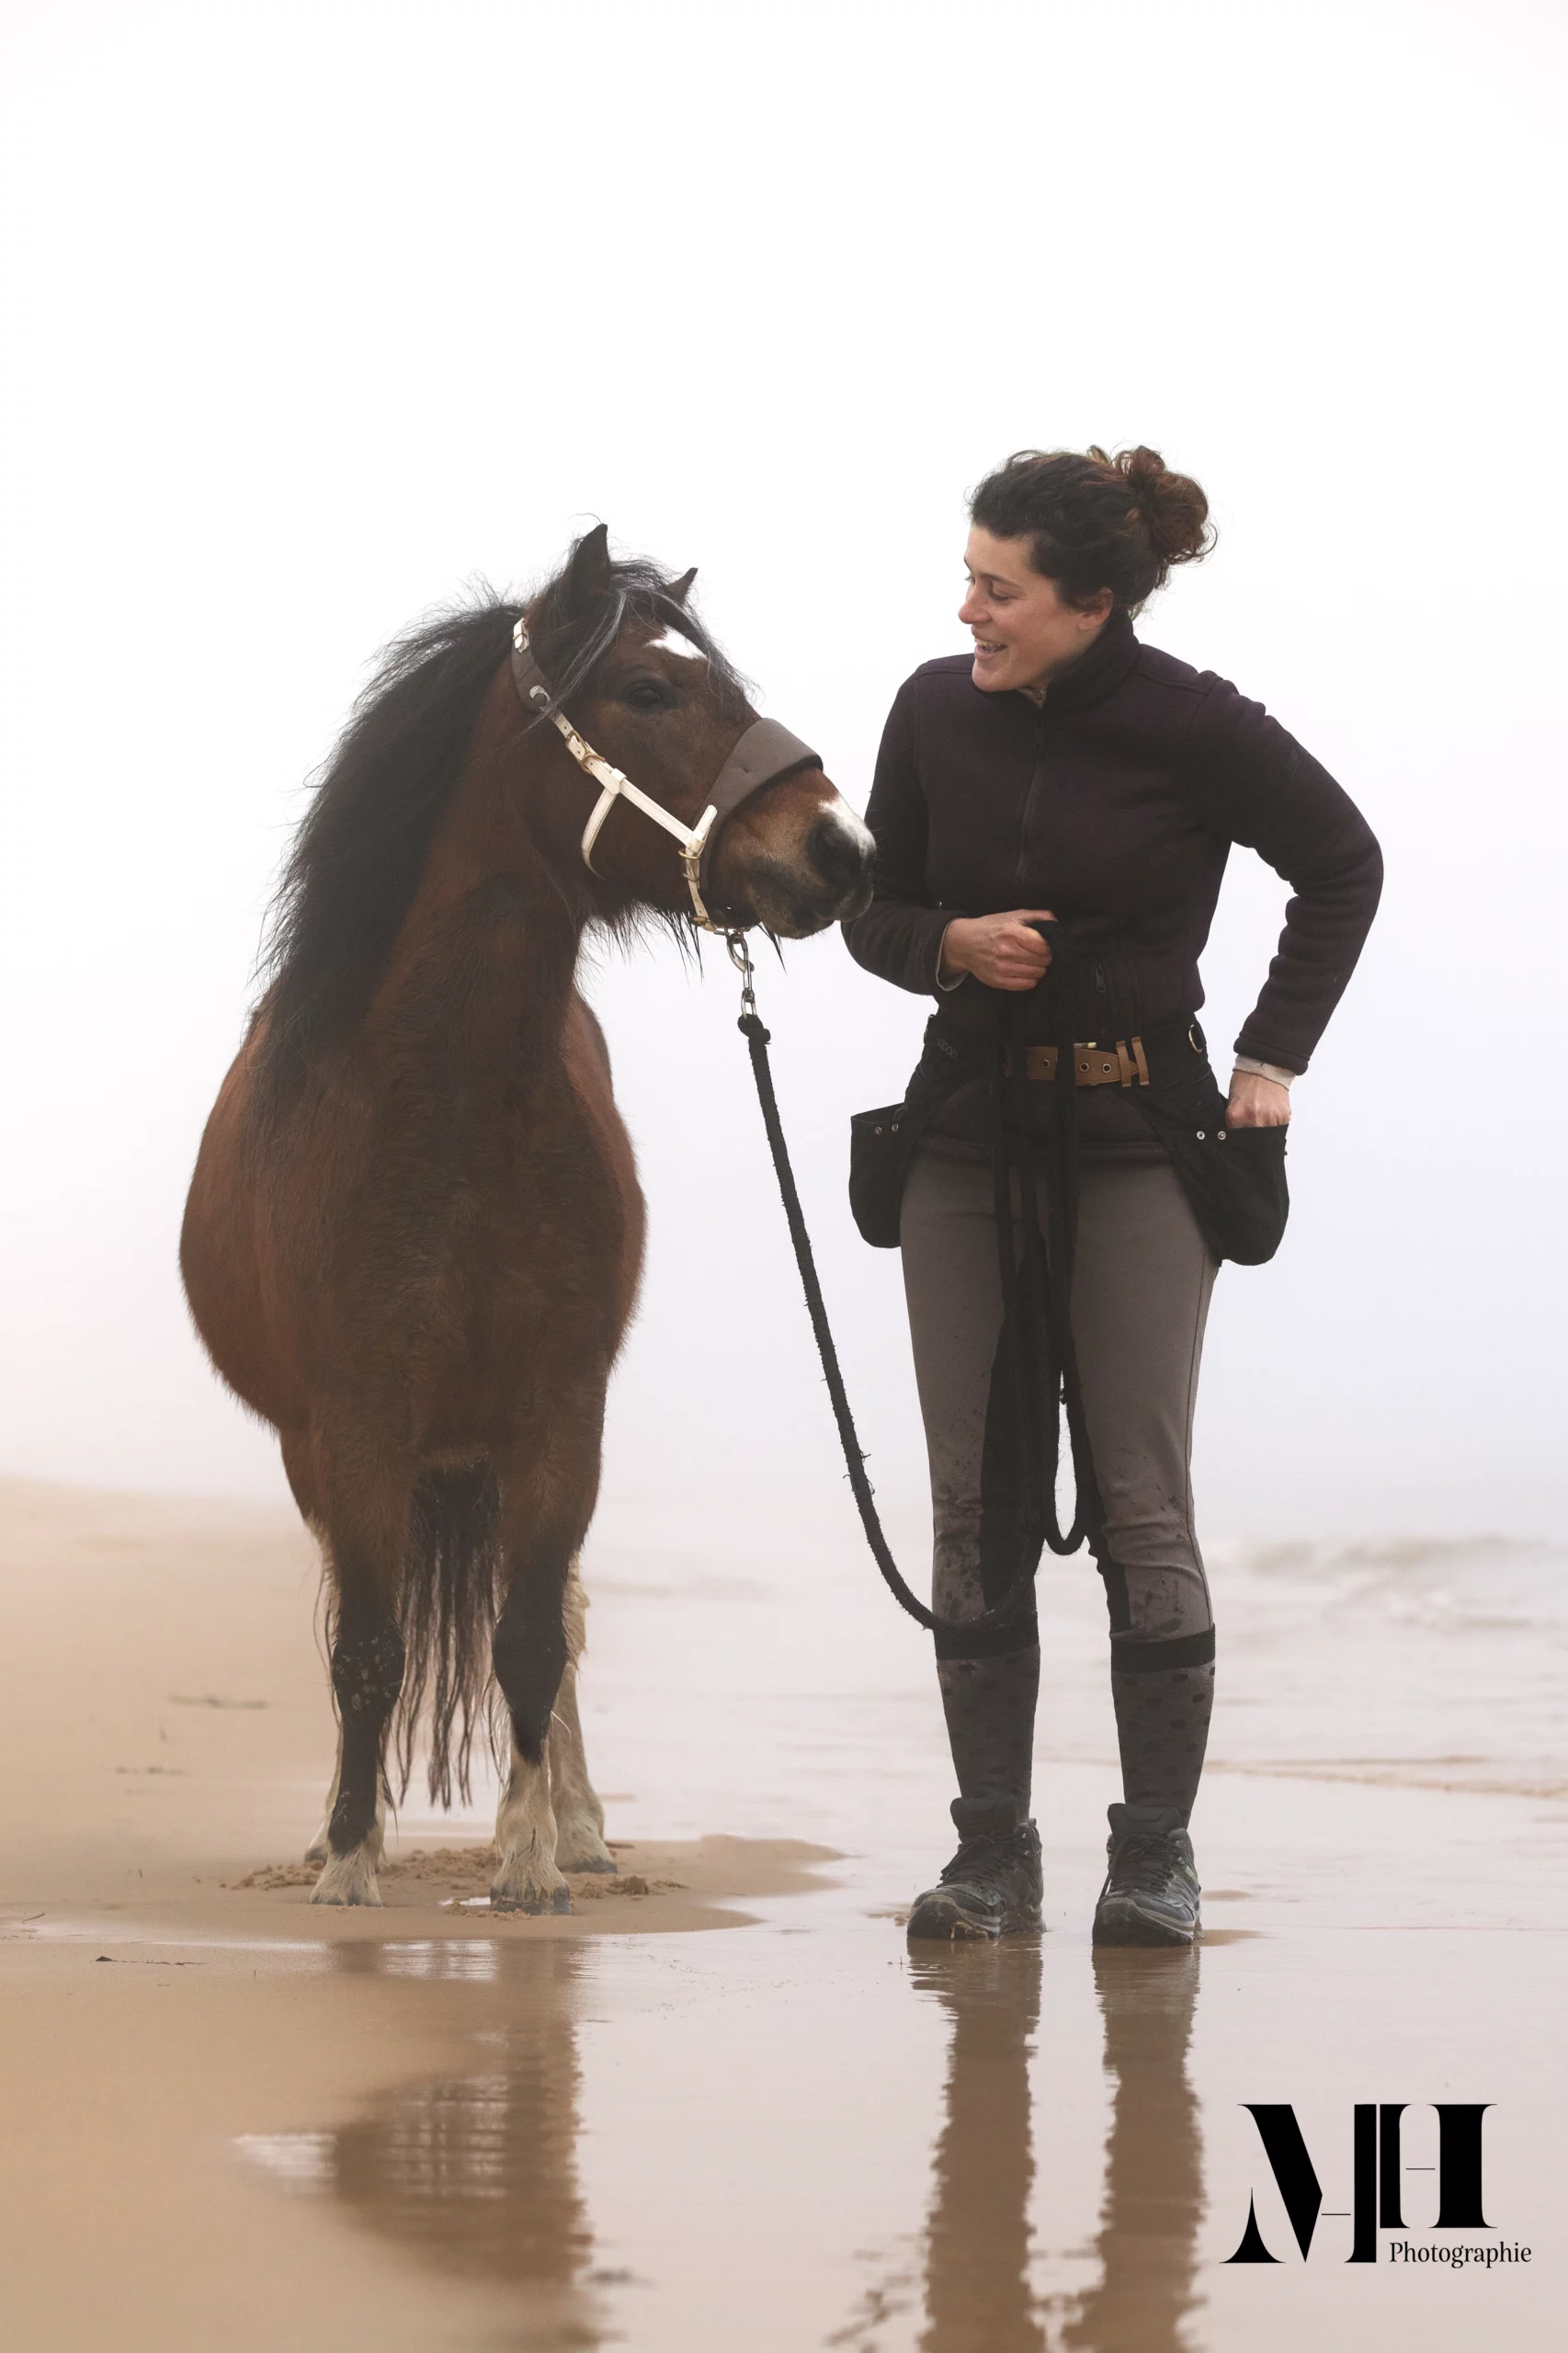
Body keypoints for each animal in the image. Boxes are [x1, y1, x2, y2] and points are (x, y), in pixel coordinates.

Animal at [180, 524, 873, 1909]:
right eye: (649, 691)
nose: (840, 845)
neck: (447, 1111)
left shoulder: (561, 1415)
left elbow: (536, 1639)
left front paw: (532, 1858)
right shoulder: (355, 1427)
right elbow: (371, 1647)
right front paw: (348, 1859)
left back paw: (582, 1827)